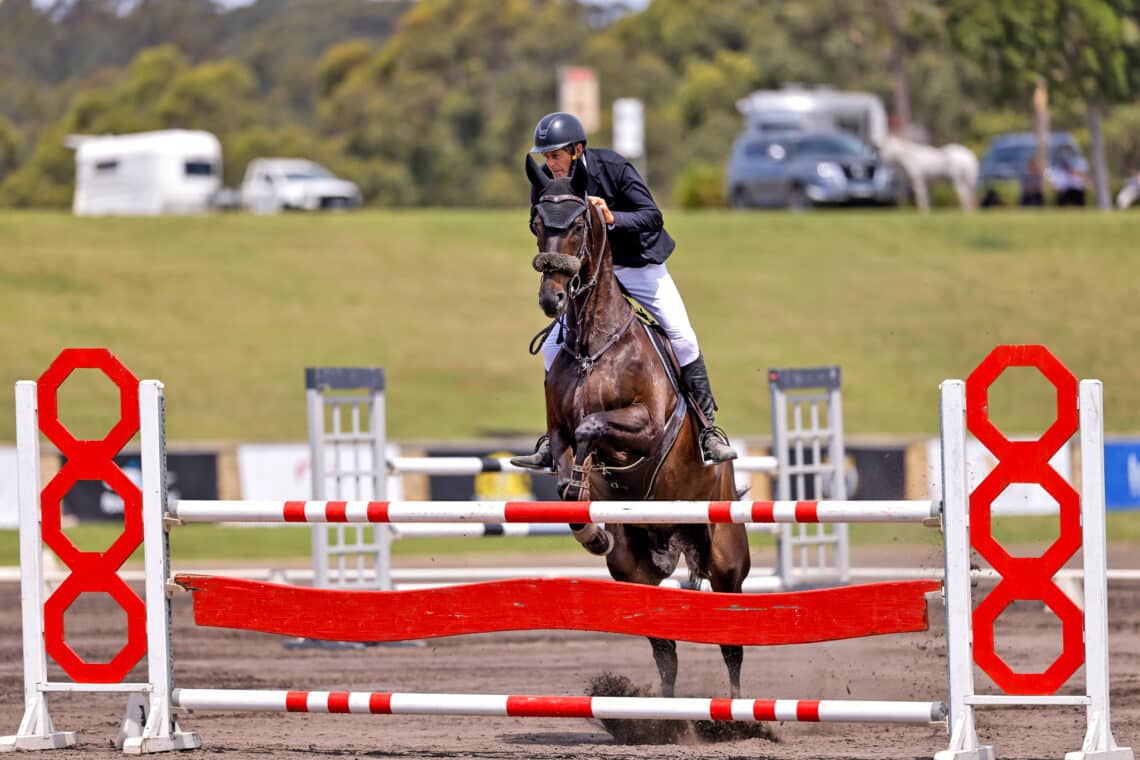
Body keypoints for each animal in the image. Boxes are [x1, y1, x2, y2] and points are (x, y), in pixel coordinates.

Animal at [522, 156, 752, 701]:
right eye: (537, 224)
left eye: (579, 224)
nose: (551, 299)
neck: (593, 342)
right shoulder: (558, 431)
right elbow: (567, 468)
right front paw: (589, 524)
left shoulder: (645, 427)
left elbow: (593, 427)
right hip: (636, 567)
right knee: (664, 646)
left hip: (725, 558)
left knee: (731, 639)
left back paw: (738, 707)